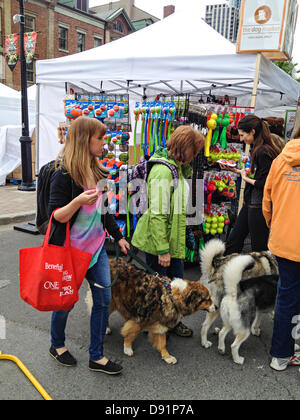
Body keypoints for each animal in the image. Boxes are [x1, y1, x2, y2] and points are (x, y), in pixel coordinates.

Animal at [85, 258, 214, 362]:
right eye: (207, 299)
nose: (216, 307)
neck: (169, 295)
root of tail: (110, 260)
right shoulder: (139, 319)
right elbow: (131, 334)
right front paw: (127, 348)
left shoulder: (161, 322)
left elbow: (162, 343)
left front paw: (167, 357)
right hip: (110, 300)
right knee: (103, 313)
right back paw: (106, 328)